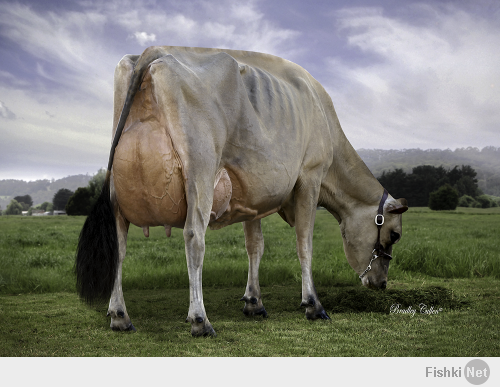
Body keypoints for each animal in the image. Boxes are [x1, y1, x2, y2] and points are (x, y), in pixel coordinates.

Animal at [76, 45, 408, 336]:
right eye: (394, 235)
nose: (381, 284)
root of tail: (154, 50)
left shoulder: (254, 195)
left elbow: (255, 246)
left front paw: (254, 302)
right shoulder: (310, 177)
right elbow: (305, 244)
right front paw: (313, 304)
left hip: (118, 189)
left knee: (118, 244)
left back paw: (120, 315)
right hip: (200, 170)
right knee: (194, 238)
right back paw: (200, 320)